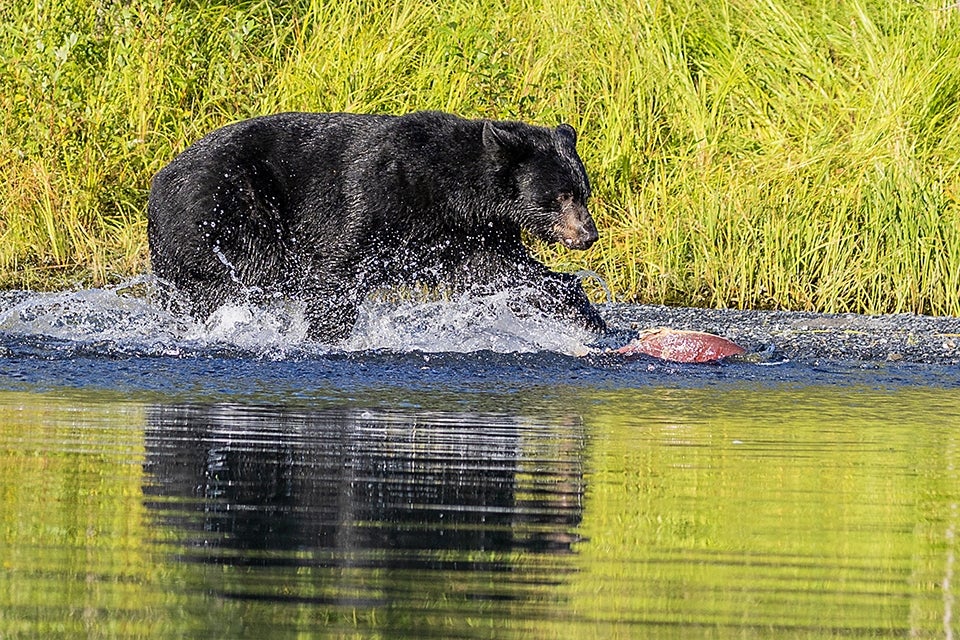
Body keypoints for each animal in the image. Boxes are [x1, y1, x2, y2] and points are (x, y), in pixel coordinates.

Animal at [147, 110, 606, 342]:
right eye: (561, 196)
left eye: (583, 192)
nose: (588, 234)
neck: (451, 190)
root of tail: (157, 185)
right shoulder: (380, 195)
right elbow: (340, 266)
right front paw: (326, 335)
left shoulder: (469, 234)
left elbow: (508, 272)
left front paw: (589, 319)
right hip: (226, 212)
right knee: (243, 274)